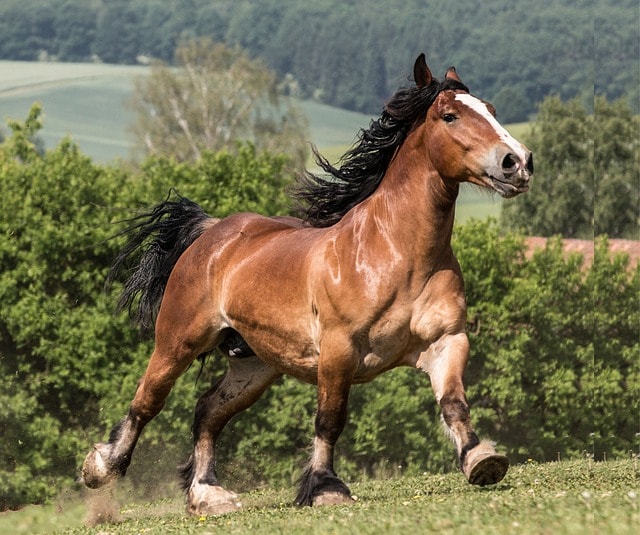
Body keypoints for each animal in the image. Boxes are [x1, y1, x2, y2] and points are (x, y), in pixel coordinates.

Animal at [84, 54, 536, 516]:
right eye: (450, 116)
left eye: (491, 110)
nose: (517, 162)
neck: (397, 255)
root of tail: (211, 233)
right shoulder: (338, 351)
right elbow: (330, 419)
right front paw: (325, 488)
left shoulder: (447, 340)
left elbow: (453, 402)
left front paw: (481, 459)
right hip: (178, 342)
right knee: (147, 402)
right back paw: (101, 467)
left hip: (255, 364)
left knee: (208, 410)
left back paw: (208, 494)